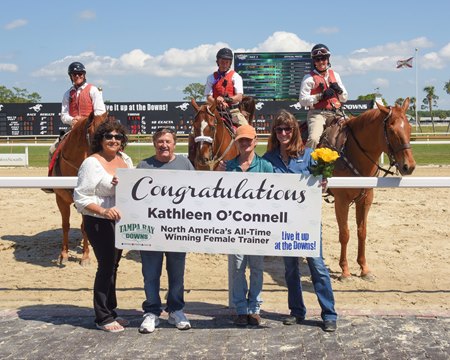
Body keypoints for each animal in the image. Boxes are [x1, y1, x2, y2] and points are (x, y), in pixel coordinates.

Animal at [50, 112, 107, 264]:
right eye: (95, 133)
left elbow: (85, 228)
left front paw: (85, 256)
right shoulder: (61, 200)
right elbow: (65, 225)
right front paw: (63, 254)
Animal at [326, 98, 416, 282]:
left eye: (409, 128)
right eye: (391, 130)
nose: (408, 166)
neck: (351, 151)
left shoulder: (366, 199)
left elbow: (362, 232)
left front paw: (364, 269)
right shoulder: (341, 201)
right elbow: (344, 233)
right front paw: (345, 271)